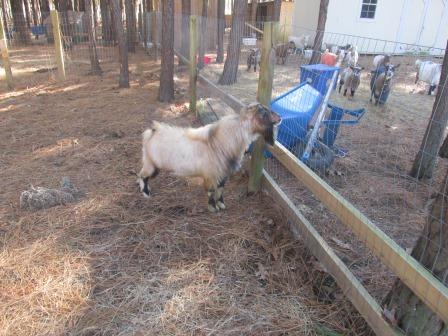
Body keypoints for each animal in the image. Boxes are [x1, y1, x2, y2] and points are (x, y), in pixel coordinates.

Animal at [138, 103, 282, 211]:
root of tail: (152, 132)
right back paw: (146, 193)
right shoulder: (211, 174)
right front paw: (213, 207)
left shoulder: (223, 173)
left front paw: (222, 204)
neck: (222, 140)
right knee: (143, 176)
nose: (280, 117)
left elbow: (221, 188)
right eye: (264, 112)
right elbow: (212, 191)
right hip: (151, 163)